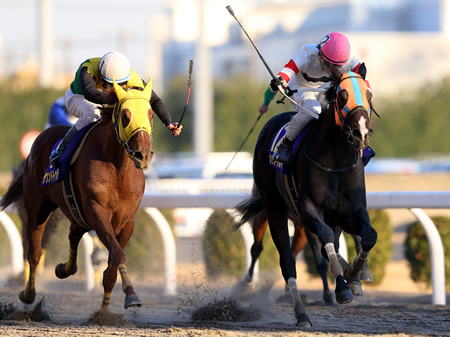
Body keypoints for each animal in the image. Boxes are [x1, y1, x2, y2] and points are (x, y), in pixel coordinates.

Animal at [0, 79, 155, 310]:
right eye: (125, 115)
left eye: (151, 113)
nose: (143, 155)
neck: (118, 169)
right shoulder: (97, 210)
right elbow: (118, 253)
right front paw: (130, 294)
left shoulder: (127, 220)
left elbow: (111, 265)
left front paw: (106, 310)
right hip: (38, 210)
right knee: (34, 251)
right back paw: (28, 294)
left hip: (76, 211)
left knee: (73, 232)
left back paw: (65, 269)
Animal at [234, 69, 378, 326]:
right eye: (342, 95)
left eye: (369, 94)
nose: (361, 132)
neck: (336, 162)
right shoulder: (309, 212)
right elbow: (325, 241)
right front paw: (342, 288)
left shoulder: (351, 213)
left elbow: (368, 237)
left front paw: (354, 274)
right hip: (273, 209)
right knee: (284, 261)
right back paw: (299, 312)